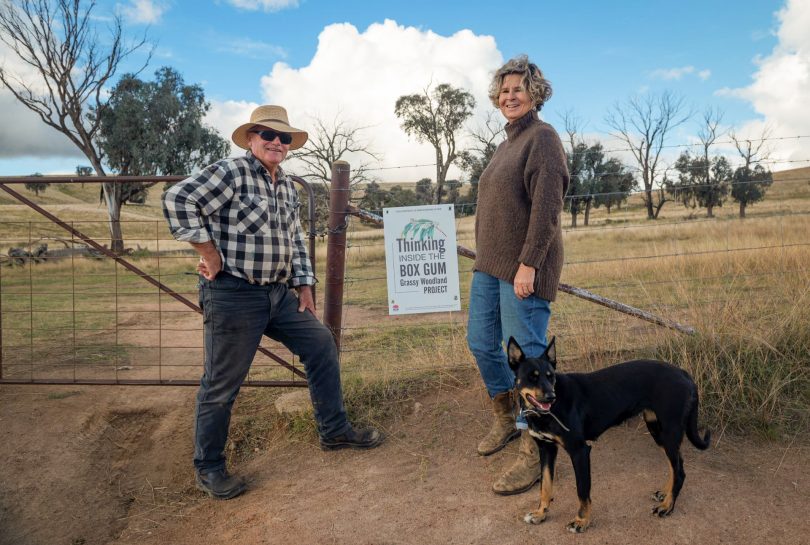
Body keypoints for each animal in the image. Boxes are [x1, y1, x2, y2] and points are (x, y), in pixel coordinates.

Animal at [508, 336, 712, 532]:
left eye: (550, 377)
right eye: (532, 377)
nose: (551, 397)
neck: (546, 413)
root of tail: (684, 373)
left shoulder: (579, 451)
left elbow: (582, 490)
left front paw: (581, 521)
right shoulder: (546, 449)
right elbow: (545, 486)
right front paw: (540, 513)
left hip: (669, 432)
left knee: (680, 471)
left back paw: (668, 506)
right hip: (657, 430)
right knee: (676, 466)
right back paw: (666, 493)